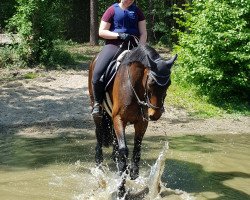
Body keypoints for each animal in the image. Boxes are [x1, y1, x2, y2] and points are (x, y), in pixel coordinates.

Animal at [88, 43, 176, 185]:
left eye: (169, 84)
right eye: (151, 83)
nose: (155, 114)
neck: (134, 87)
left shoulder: (142, 122)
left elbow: (137, 146)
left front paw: (134, 171)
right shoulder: (119, 119)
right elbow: (124, 149)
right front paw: (122, 178)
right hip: (97, 108)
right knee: (99, 133)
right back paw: (99, 163)